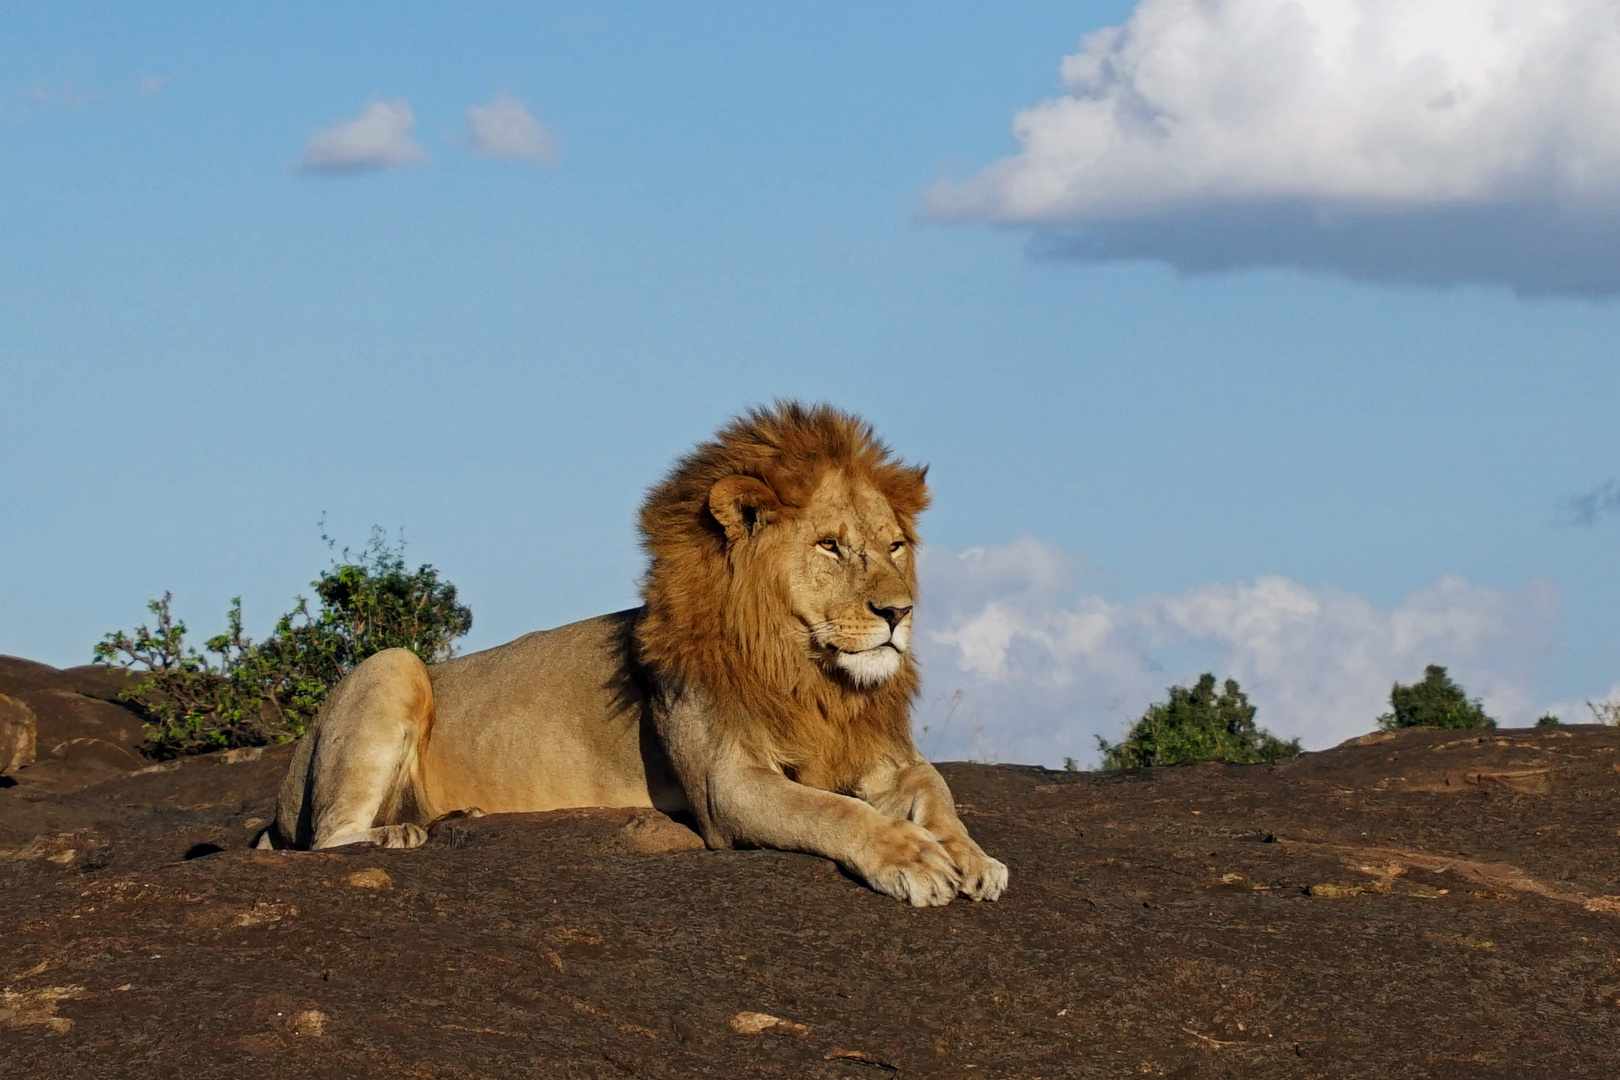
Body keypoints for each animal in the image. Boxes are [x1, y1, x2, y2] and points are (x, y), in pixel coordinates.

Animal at [270, 401, 1004, 906]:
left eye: (895, 546)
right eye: (830, 546)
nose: (899, 613)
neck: (807, 673)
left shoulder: (870, 750)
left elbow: (933, 788)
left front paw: (972, 858)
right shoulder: (725, 786)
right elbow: (830, 811)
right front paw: (911, 859)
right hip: (391, 664)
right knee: (325, 838)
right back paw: (400, 833)